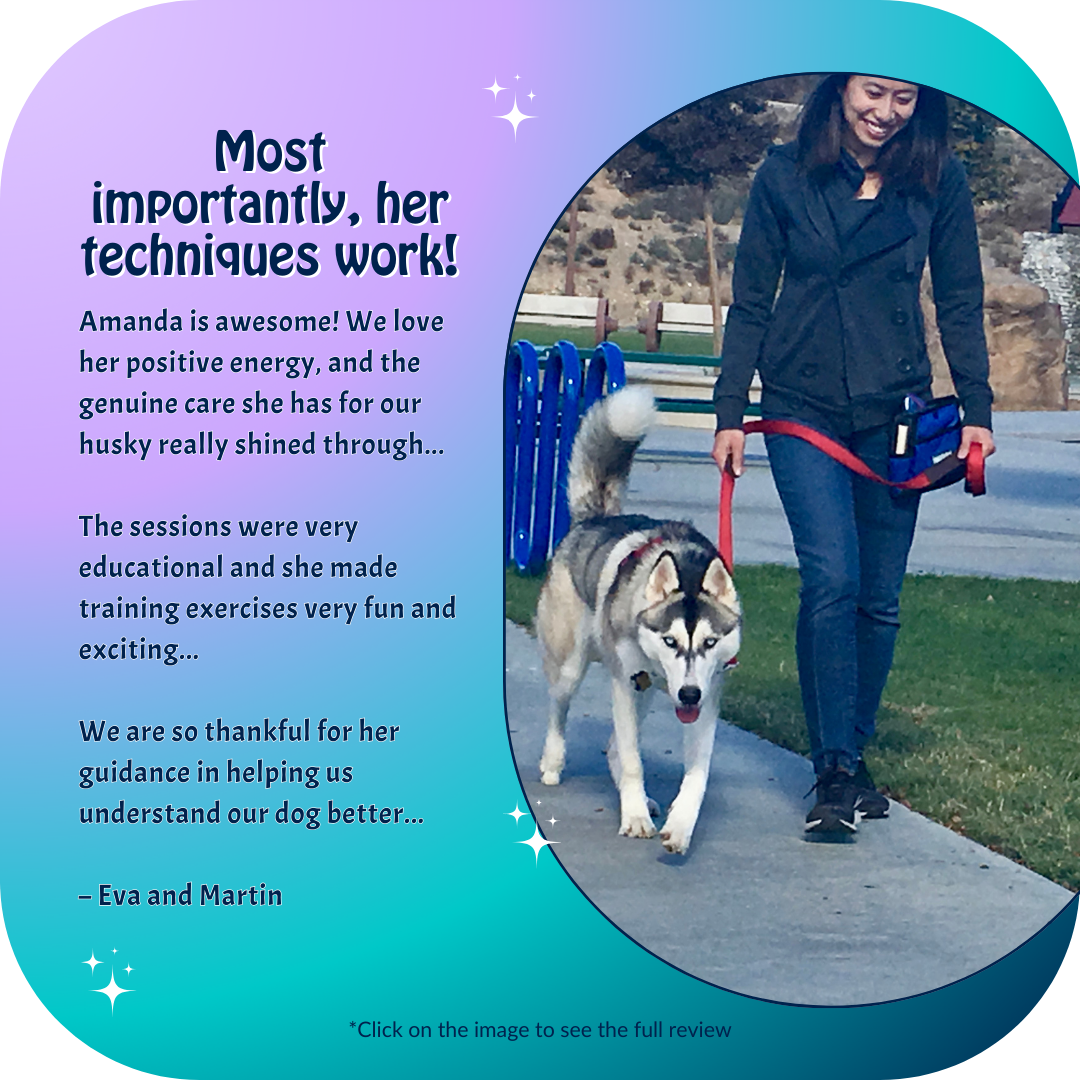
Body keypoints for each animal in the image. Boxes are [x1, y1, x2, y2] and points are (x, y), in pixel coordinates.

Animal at [533, 386, 738, 851]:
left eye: (710, 643)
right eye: (670, 641)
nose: (689, 694)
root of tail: (595, 519)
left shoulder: (709, 693)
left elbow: (697, 775)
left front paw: (680, 825)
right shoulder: (625, 685)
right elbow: (631, 761)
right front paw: (634, 817)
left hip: (643, 687)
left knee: (613, 744)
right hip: (576, 664)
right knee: (559, 707)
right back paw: (553, 762)